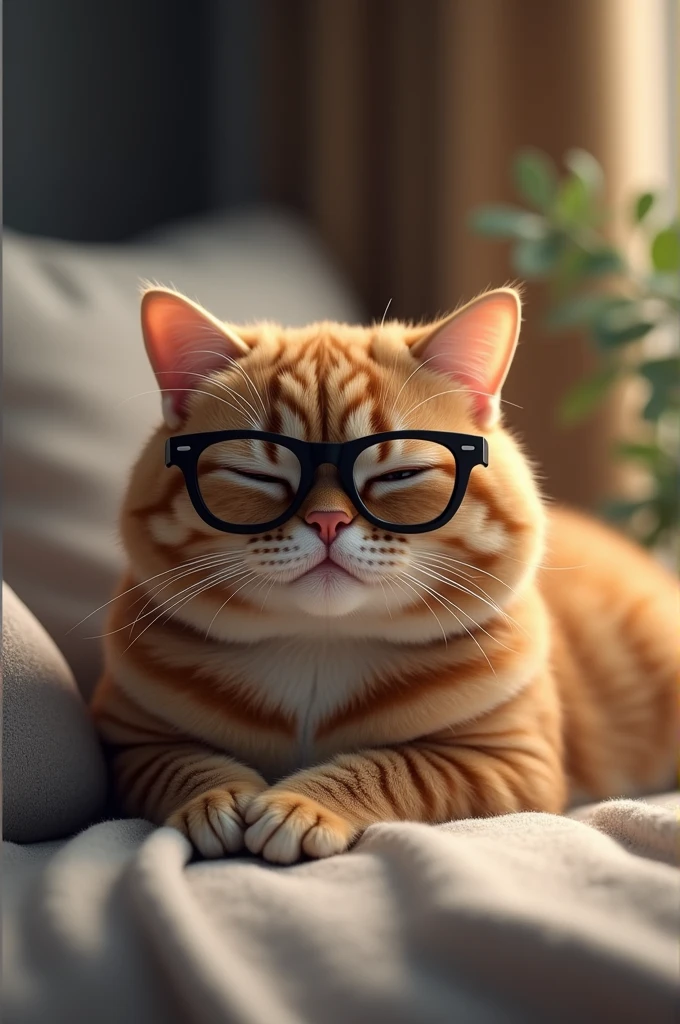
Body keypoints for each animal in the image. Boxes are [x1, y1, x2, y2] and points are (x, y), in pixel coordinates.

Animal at [90, 286, 680, 864]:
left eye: (400, 474)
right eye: (255, 475)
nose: (328, 520)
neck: (318, 647)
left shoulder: (512, 762)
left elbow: (395, 767)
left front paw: (300, 805)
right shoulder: (126, 742)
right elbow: (180, 764)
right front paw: (216, 800)